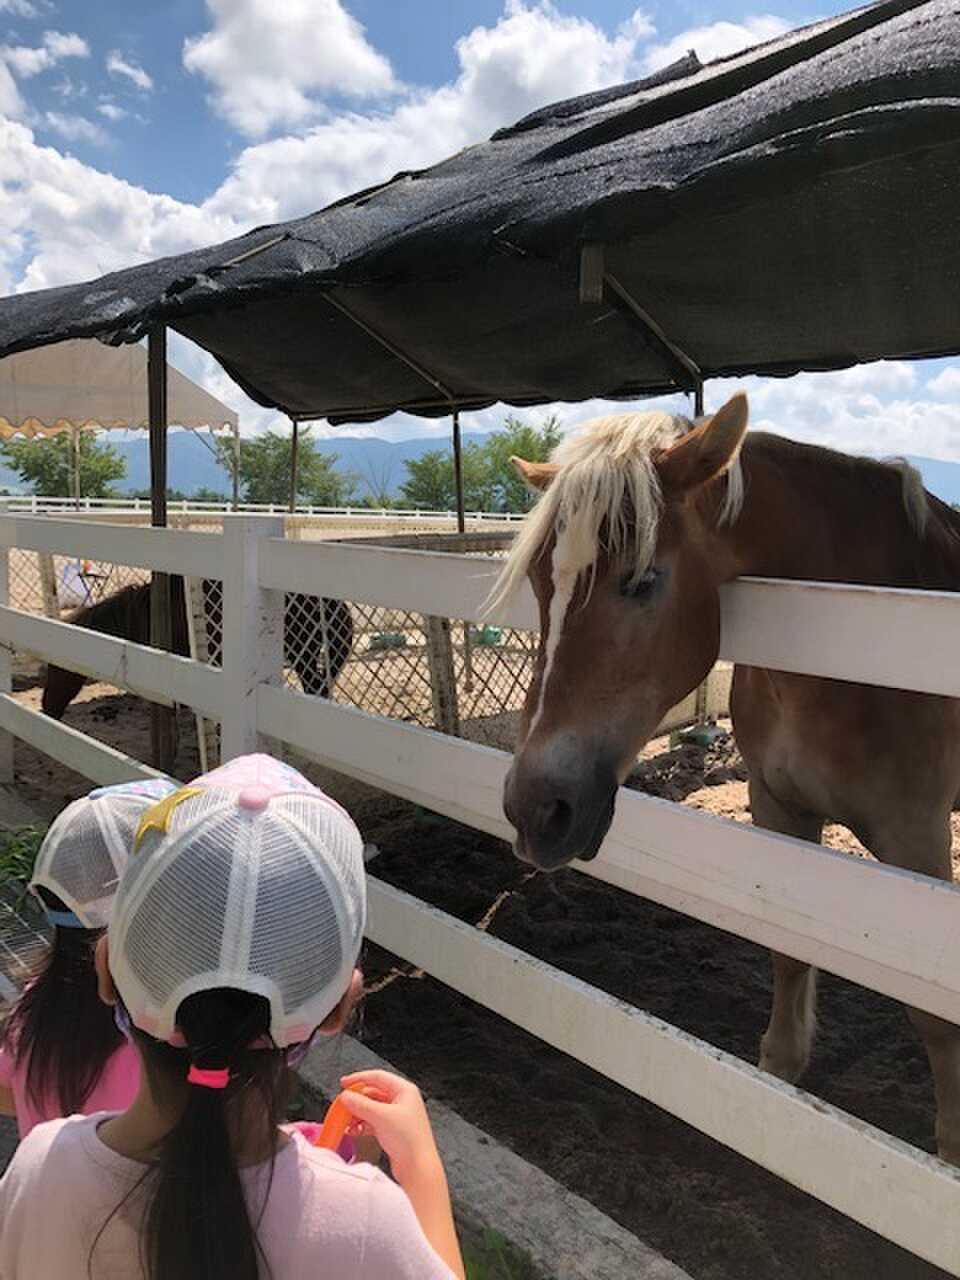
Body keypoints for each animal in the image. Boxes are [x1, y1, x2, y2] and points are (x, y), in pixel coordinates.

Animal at [491, 391, 960, 1164]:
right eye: (538, 583)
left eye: (642, 579)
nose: (535, 810)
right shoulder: (777, 812)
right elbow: (787, 956)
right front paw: (777, 1079)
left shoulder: (915, 844)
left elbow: (935, 1015)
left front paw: (948, 1153)